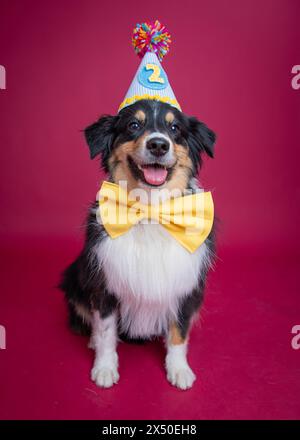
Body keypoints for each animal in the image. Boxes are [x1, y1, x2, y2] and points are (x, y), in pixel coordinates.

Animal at [60, 99, 216, 388]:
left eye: (174, 128)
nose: (158, 144)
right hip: (75, 278)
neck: (149, 209)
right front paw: (105, 368)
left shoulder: (185, 286)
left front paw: (179, 369)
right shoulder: (104, 285)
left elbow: (179, 334)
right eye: (134, 125)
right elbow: (106, 332)